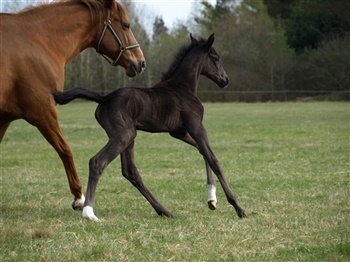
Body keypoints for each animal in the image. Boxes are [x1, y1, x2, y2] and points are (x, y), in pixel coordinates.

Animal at [0, 0, 146, 209]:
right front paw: (79, 197)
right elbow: (65, 150)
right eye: (126, 25)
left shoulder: (5, 118)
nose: (141, 63)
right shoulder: (42, 112)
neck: (38, 40)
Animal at [54, 33, 246, 221]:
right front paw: (238, 207)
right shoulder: (196, 126)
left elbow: (203, 152)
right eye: (216, 58)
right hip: (122, 136)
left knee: (130, 171)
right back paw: (89, 212)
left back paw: (165, 211)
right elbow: (214, 160)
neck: (183, 88)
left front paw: (212, 199)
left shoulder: (179, 132)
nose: (225, 80)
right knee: (97, 162)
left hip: (129, 137)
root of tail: (104, 98)